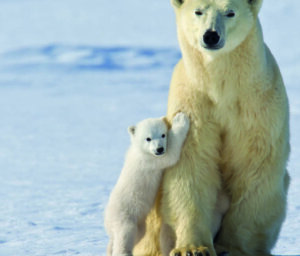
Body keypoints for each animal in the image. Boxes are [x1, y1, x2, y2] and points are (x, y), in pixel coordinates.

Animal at [105, 113, 190, 256]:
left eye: (162, 134)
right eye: (148, 138)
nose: (159, 149)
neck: (140, 151)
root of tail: (108, 221)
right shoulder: (149, 161)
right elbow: (170, 154)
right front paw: (180, 120)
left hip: (138, 223)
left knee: (136, 234)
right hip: (124, 215)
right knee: (124, 235)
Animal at [134, 0, 290, 256]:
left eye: (230, 12)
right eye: (198, 11)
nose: (211, 35)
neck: (222, 87)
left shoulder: (257, 105)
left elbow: (254, 166)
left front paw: (232, 248)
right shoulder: (194, 104)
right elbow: (192, 165)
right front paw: (192, 248)